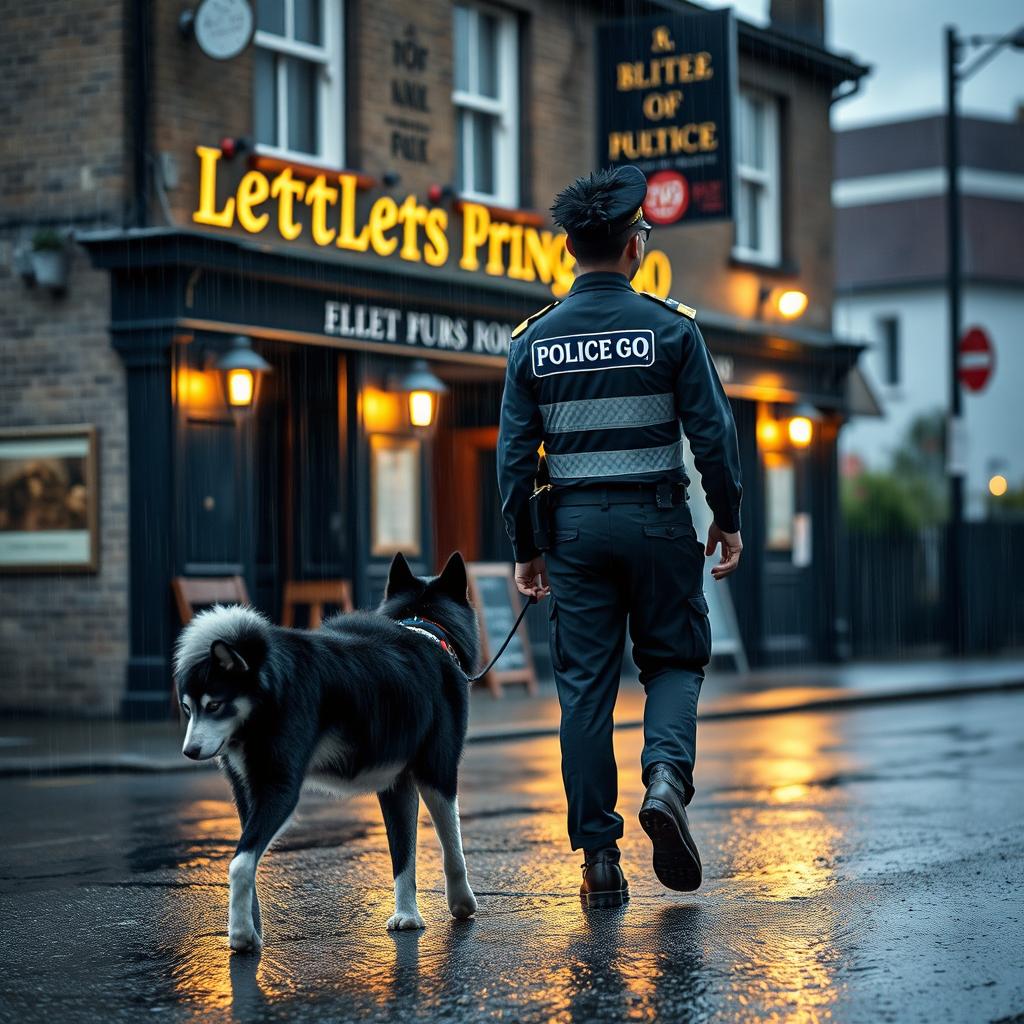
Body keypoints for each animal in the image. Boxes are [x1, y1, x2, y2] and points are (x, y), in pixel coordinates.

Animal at [174, 552, 477, 950]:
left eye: (211, 706)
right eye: (189, 709)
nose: (190, 751)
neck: (422, 627)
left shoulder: (396, 786)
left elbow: (403, 855)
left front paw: (407, 915)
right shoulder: (438, 773)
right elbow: (451, 846)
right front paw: (461, 902)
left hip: (250, 795)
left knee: (244, 858)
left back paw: (249, 930)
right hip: (283, 790)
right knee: (240, 864)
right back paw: (240, 935)